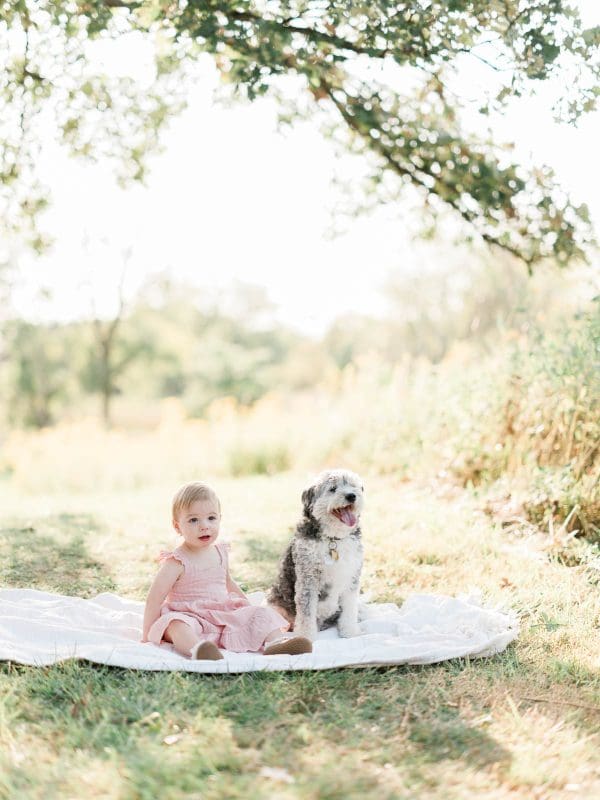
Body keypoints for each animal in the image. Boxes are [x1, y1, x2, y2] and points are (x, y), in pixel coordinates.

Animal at [268, 468, 364, 644]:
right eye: (332, 488)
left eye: (353, 486)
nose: (351, 496)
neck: (333, 539)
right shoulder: (308, 579)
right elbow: (306, 614)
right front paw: (305, 636)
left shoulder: (351, 577)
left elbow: (350, 609)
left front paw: (350, 632)